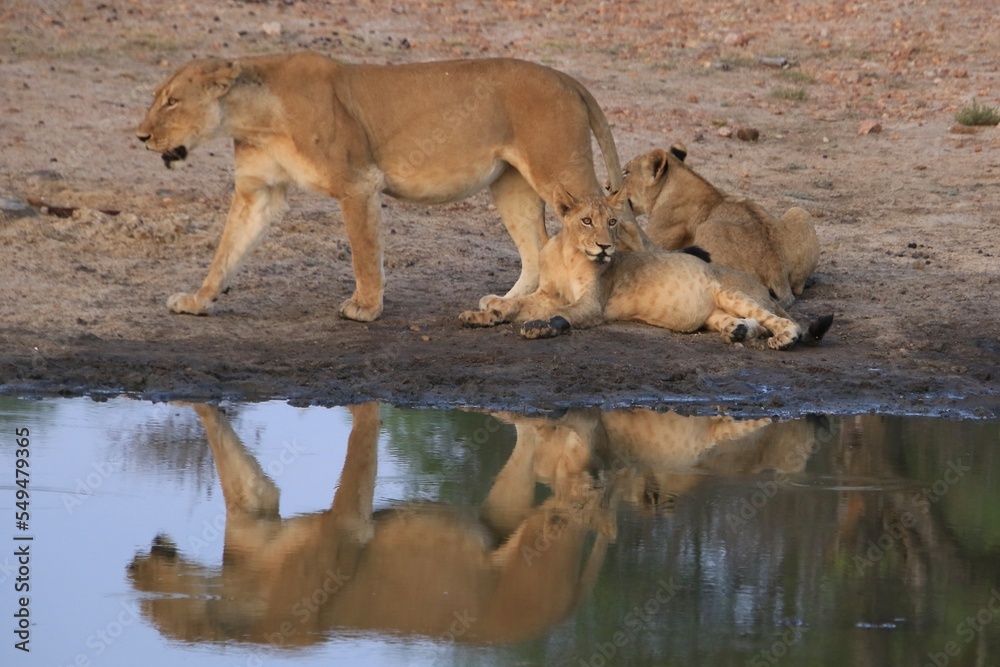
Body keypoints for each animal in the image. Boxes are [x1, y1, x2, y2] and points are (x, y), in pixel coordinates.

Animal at [136, 50, 637, 319]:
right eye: (158, 98)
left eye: (172, 101)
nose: (141, 137)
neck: (254, 117)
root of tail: (566, 77)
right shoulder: (258, 191)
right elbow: (227, 251)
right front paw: (197, 300)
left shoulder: (357, 181)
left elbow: (363, 252)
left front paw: (365, 307)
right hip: (510, 184)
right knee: (535, 248)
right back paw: (507, 303)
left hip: (562, 173)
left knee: (610, 222)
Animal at [460, 190, 832, 350]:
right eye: (586, 220)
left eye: (611, 221)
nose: (605, 247)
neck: (569, 254)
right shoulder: (547, 293)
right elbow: (516, 304)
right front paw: (483, 314)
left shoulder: (592, 304)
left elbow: (562, 313)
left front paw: (540, 326)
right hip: (714, 314)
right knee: (748, 322)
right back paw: (737, 332)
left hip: (731, 291)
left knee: (783, 322)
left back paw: (784, 338)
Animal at [618, 145, 820, 307]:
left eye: (626, 172)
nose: (610, 188)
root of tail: (776, 266)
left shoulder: (657, 239)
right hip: (800, 212)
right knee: (798, 286)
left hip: (707, 228)